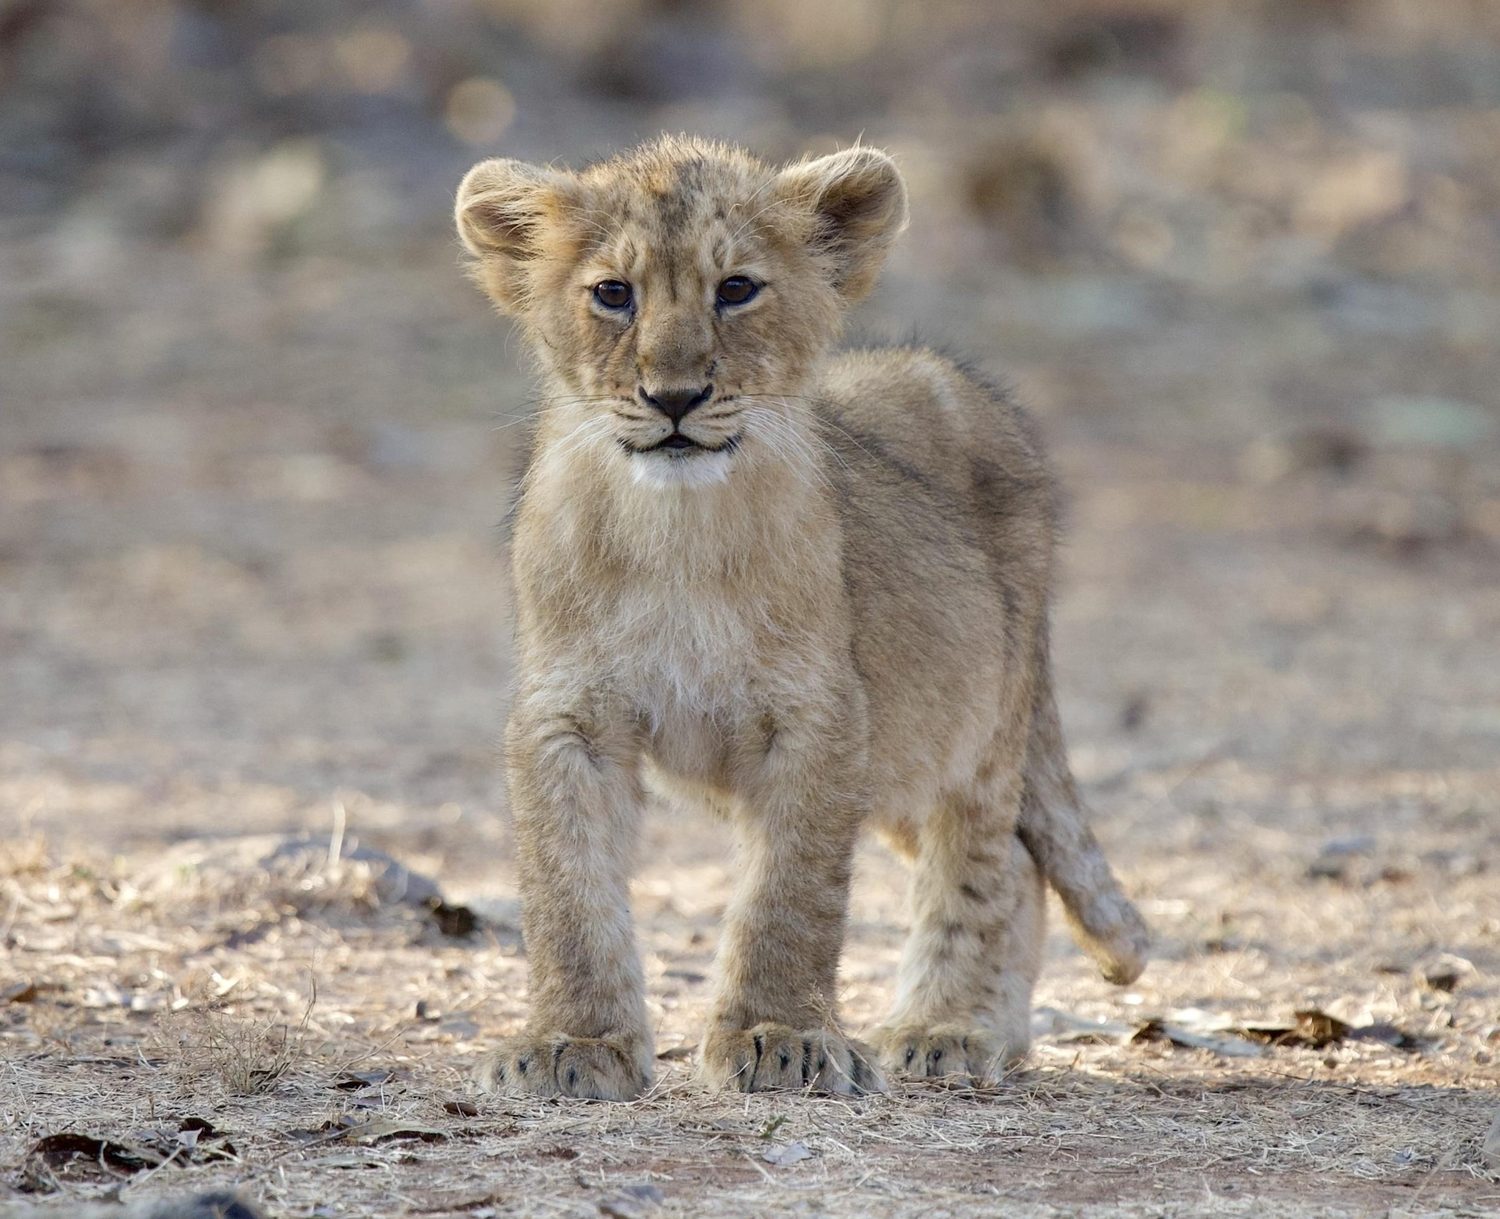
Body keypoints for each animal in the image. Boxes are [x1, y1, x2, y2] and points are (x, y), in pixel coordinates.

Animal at [454, 135, 1149, 1100]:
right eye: (613, 293)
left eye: (737, 288)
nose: (675, 396)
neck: (677, 530)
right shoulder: (567, 716)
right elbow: (567, 889)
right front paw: (573, 1043)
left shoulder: (822, 715)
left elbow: (790, 895)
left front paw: (777, 1036)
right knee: (1017, 855)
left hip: (974, 726)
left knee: (989, 859)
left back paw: (949, 1027)